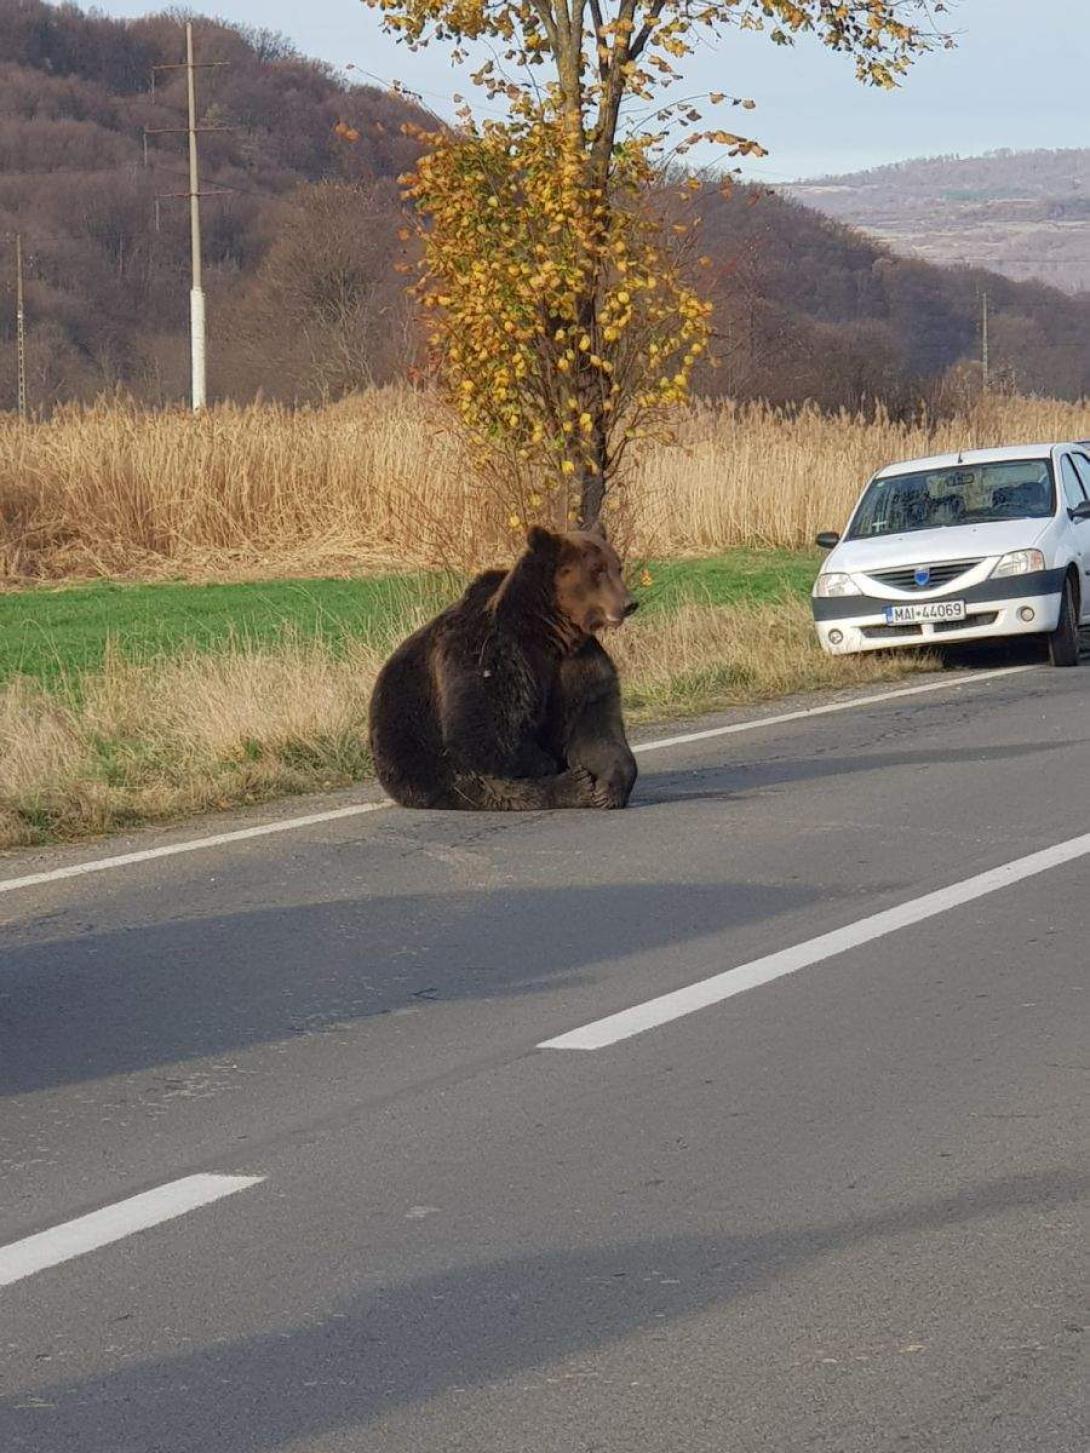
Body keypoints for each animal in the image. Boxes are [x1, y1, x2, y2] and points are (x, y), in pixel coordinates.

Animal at [367, 528, 639, 813]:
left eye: (617, 566)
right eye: (597, 569)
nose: (629, 603)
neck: (549, 632)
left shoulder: (576, 664)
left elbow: (593, 725)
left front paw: (609, 787)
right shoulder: (490, 655)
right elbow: (483, 732)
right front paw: (567, 774)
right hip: (415, 752)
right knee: (487, 786)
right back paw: (573, 786)